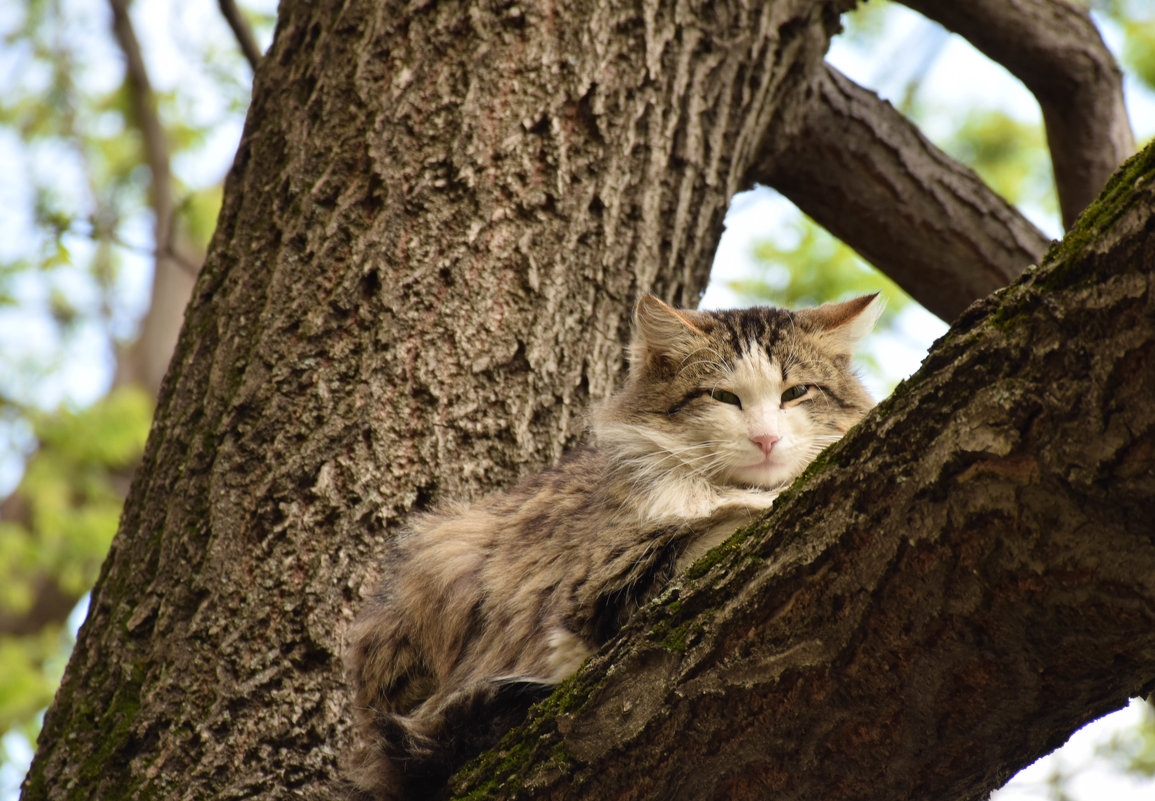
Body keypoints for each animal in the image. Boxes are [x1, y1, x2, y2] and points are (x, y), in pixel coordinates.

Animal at [346, 295, 877, 801]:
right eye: (723, 397)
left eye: (796, 393)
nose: (766, 439)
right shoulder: (607, 582)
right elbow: (716, 525)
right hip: (444, 548)